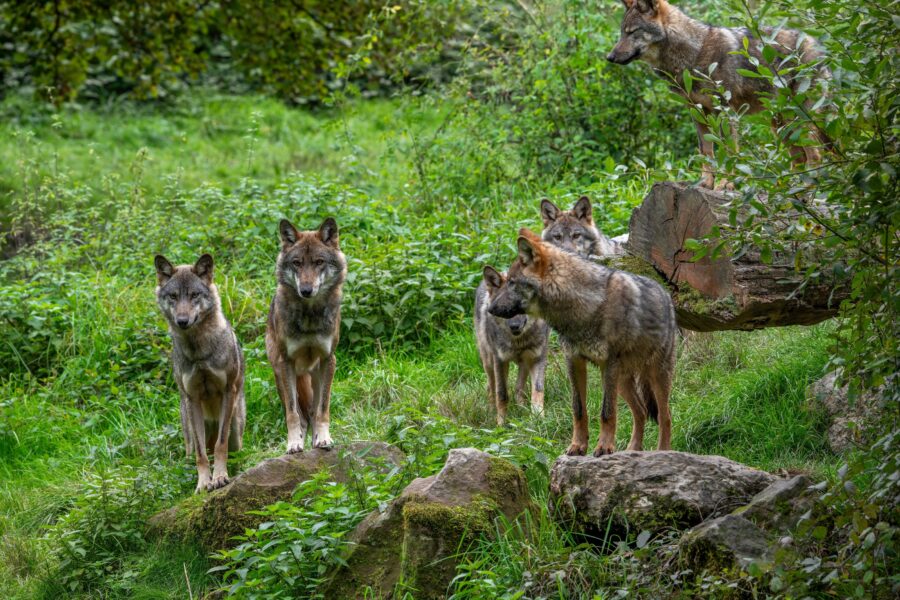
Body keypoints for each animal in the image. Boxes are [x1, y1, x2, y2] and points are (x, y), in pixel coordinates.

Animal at [155, 254, 246, 492]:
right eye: (174, 296)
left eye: (194, 295)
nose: (182, 321)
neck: (198, 352)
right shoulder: (192, 398)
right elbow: (201, 454)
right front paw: (204, 483)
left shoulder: (227, 390)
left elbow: (220, 445)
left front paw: (220, 477)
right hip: (188, 428)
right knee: (193, 452)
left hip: (236, 429)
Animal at [266, 217, 346, 454]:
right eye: (297, 263)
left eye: (319, 262)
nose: (306, 290)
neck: (310, 315)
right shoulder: (286, 362)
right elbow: (293, 414)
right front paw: (294, 443)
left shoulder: (329, 359)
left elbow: (322, 409)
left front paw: (324, 439)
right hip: (280, 373)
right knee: (300, 414)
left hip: (316, 374)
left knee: (312, 411)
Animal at [475, 266, 549, 426]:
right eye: (503, 307)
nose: (514, 326)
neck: (518, 342)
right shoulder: (500, 361)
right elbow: (502, 394)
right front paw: (501, 424)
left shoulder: (538, 358)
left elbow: (538, 390)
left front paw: (538, 418)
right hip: (488, 362)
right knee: (491, 388)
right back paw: (491, 411)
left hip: (524, 363)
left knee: (519, 389)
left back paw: (522, 408)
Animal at [487, 229, 677, 457]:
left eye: (512, 283)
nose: (490, 309)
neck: (582, 307)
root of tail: (666, 294)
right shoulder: (574, 361)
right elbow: (578, 410)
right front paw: (578, 446)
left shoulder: (608, 363)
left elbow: (606, 412)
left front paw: (604, 447)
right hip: (622, 381)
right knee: (640, 411)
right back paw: (632, 451)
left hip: (655, 375)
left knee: (665, 416)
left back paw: (663, 452)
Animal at [607, 0, 830, 189]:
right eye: (622, 33)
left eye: (632, 32)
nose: (609, 57)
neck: (692, 56)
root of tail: (818, 45)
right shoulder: (697, 111)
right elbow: (706, 151)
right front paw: (706, 183)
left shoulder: (726, 111)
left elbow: (729, 151)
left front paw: (725, 185)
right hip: (781, 124)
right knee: (799, 158)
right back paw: (787, 188)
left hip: (799, 120)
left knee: (815, 155)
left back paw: (808, 188)